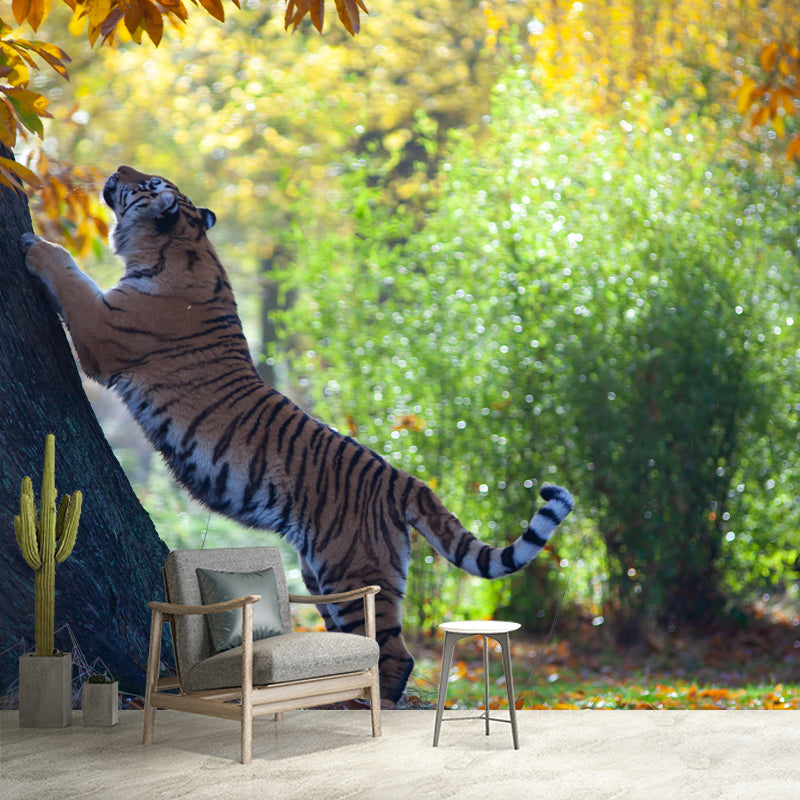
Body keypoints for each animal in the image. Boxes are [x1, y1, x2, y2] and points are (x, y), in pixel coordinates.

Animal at [22, 165, 574, 704]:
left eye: (146, 183)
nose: (116, 170)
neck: (185, 240)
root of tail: (403, 479)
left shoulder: (102, 329)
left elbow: (70, 272)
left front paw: (35, 243)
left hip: (352, 569)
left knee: (392, 656)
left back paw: (355, 707)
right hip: (324, 574)